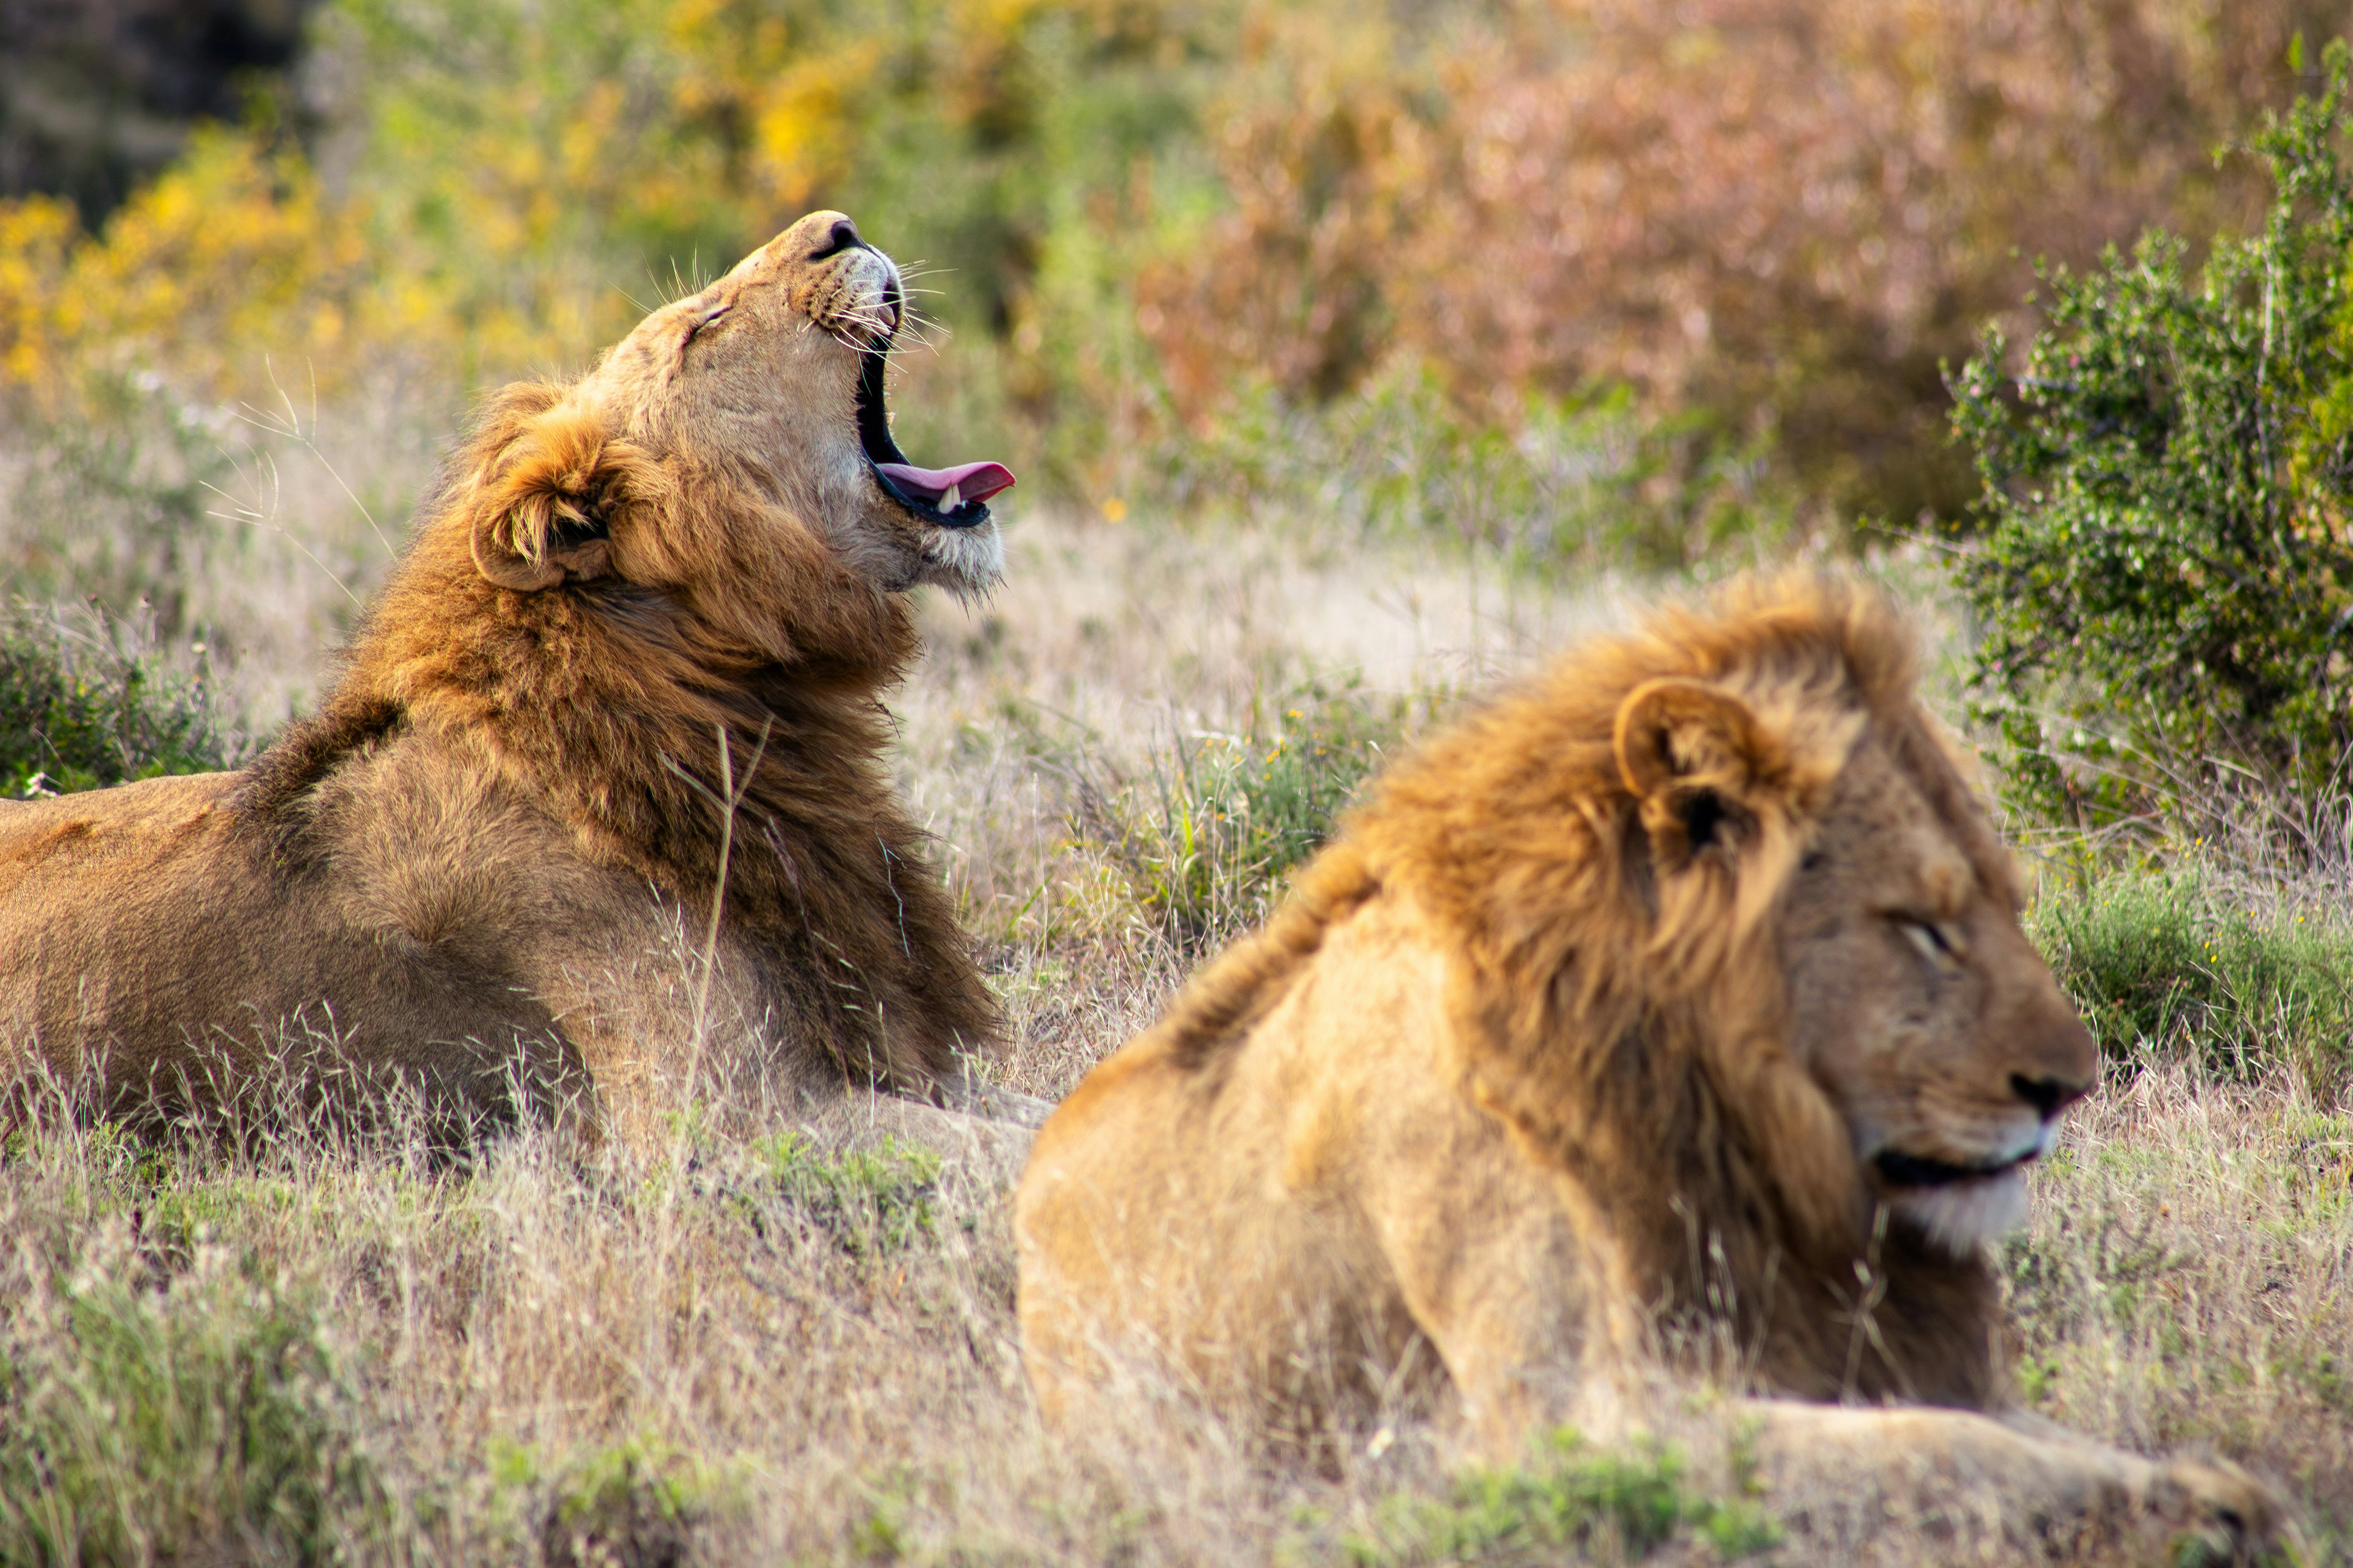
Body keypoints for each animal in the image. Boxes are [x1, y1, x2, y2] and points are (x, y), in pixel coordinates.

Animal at [1015, 578, 2288, 1556]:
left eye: (2004, 906)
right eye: (1920, 926)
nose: (2067, 1086)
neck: (1712, 1105)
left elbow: (2001, 1431)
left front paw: (2201, 1482)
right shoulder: (1565, 1421)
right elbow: (1937, 1451)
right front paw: (2203, 1510)